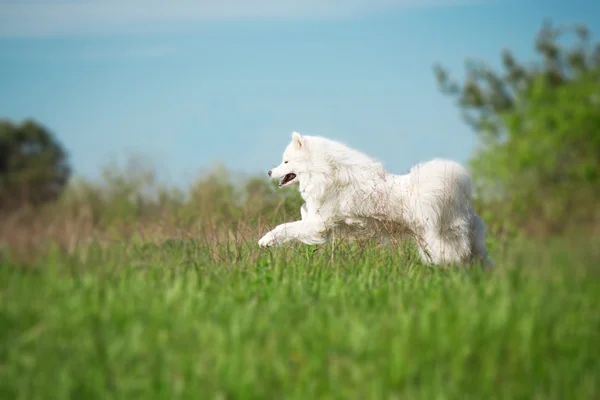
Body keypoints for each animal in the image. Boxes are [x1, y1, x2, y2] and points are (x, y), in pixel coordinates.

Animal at [258, 132, 492, 266]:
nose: (269, 172)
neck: (326, 172)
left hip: (441, 239)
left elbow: (285, 227)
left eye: (286, 161)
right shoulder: (317, 221)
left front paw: (265, 241)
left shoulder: (318, 224)